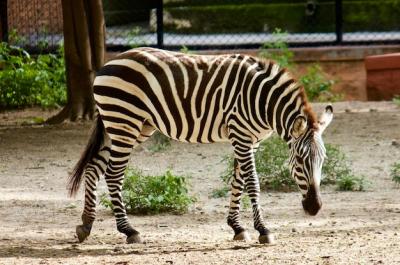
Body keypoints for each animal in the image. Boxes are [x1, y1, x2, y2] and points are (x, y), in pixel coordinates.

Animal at [68, 47, 332, 243]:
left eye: (323, 161)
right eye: (300, 161)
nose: (315, 207)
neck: (263, 102)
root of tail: (108, 63)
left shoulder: (250, 140)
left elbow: (237, 181)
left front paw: (237, 227)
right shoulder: (241, 135)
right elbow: (253, 184)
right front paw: (263, 230)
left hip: (129, 126)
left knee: (93, 168)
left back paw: (86, 224)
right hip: (125, 123)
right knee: (113, 174)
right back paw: (129, 231)